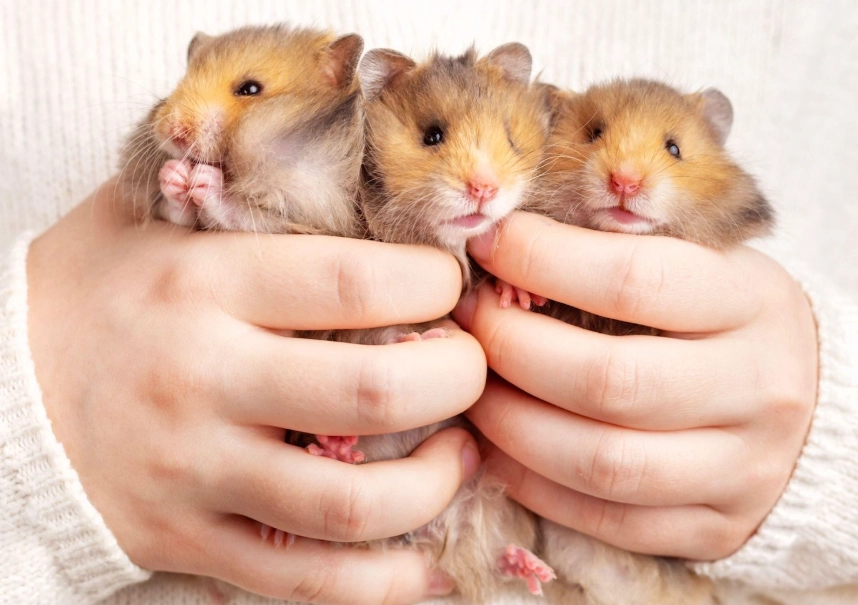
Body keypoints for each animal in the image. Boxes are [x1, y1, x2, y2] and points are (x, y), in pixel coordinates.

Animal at [118, 24, 365, 238]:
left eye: (251, 89)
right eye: (179, 83)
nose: (174, 132)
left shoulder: (315, 214)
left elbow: (241, 215)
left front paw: (202, 177)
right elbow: (178, 213)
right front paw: (174, 173)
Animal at [344, 44, 556, 602]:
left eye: (510, 137)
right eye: (432, 136)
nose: (485, 188)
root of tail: (430, 533)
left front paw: (519, 294)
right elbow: (376, 333)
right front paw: (420, 335)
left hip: (488, 507)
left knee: (492, 554)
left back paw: (531, 569)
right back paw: (334, 452)